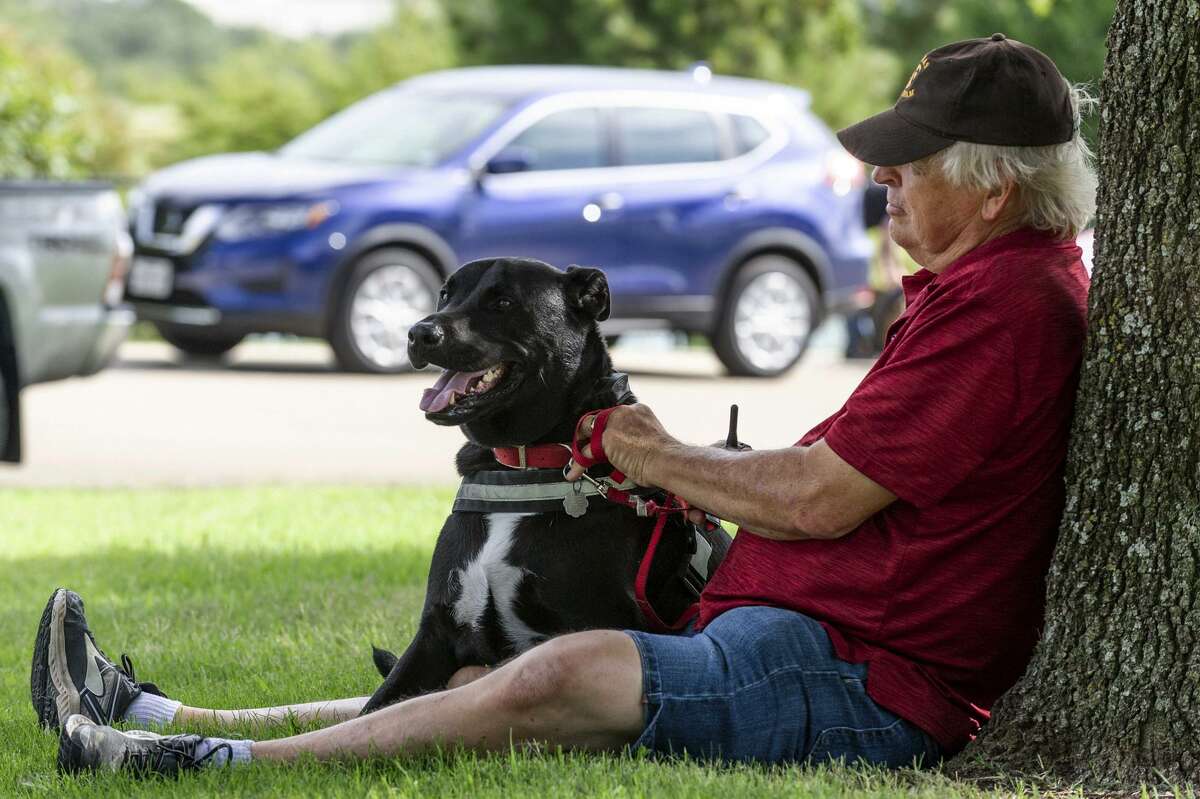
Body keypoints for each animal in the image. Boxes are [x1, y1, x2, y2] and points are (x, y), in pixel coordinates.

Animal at [360, 255, 724, 710]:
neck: (523, 464)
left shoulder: (589, 628)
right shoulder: (436, 633)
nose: (419, 333)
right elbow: (376, 707)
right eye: (445, 294)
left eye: (503, 302)